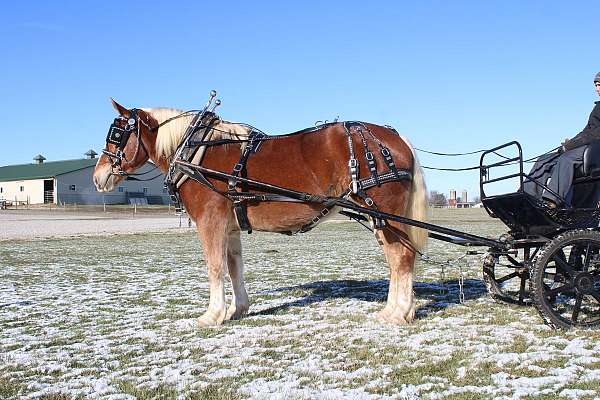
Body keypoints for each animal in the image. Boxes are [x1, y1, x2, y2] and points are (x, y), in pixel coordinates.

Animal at [94, 98, 426, 326]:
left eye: (116, 134)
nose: (98, 177)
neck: (196, 152)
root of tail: (394, 138)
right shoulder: (229, 226)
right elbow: (233, 267)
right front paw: (236, 309)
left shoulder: (210, 222)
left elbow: (215, 267)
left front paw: (212, 315)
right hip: (379, 218)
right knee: (396, 260)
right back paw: (395, 310)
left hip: (385, 215)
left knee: (401, 258)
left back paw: (398, 313)